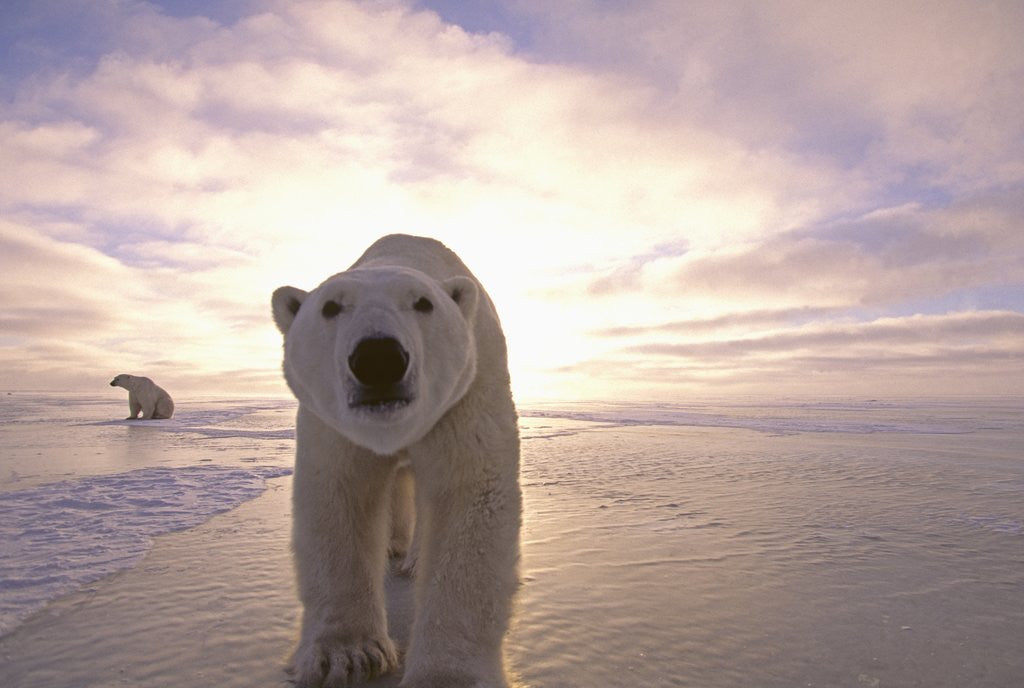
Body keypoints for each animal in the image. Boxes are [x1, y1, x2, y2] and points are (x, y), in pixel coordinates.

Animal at [271, 234, 522, 688]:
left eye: (424, 303)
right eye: (330, 307)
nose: (378, 358)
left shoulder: (468, 389)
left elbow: (469, 494)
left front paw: (448, 675)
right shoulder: (331, 419)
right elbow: (340, 495)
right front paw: (347, 655)